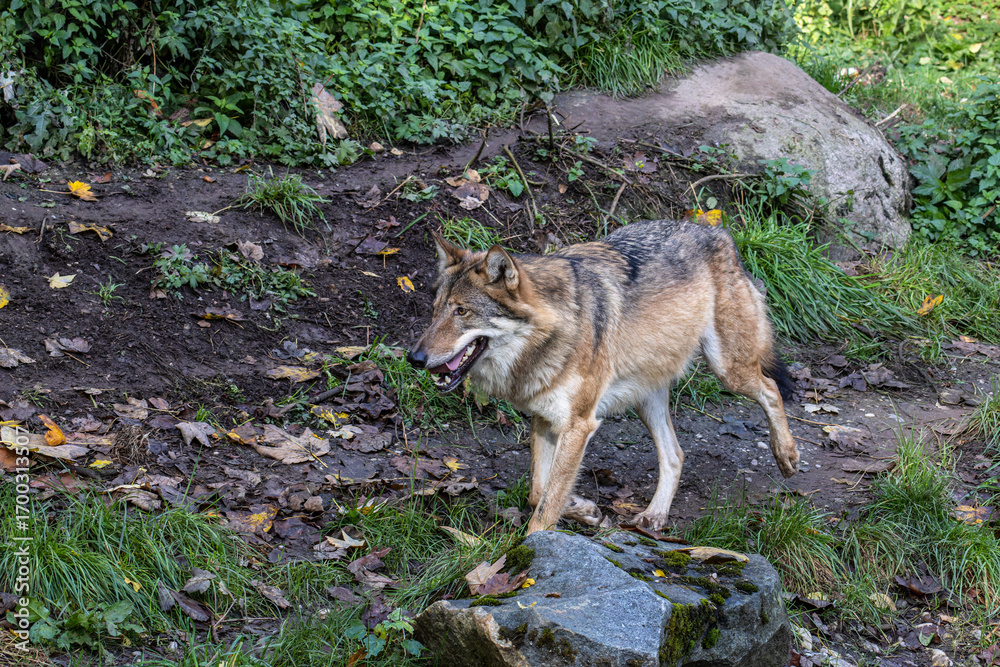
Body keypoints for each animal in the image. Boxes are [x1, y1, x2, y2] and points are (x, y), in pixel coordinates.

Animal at [407, 219, 798, 535]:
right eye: (435, 311)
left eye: (462, 312)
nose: (414, 358)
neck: (554, 328)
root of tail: (720, 234)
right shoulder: (544, 419)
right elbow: (538, 493)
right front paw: (584, 510)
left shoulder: (579, 425)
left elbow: (546, 507)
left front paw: (529, 556)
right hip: (646, 398)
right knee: (675, 454)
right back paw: (655, 516)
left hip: (727, 370)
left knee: (771, 388)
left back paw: (787, 455)